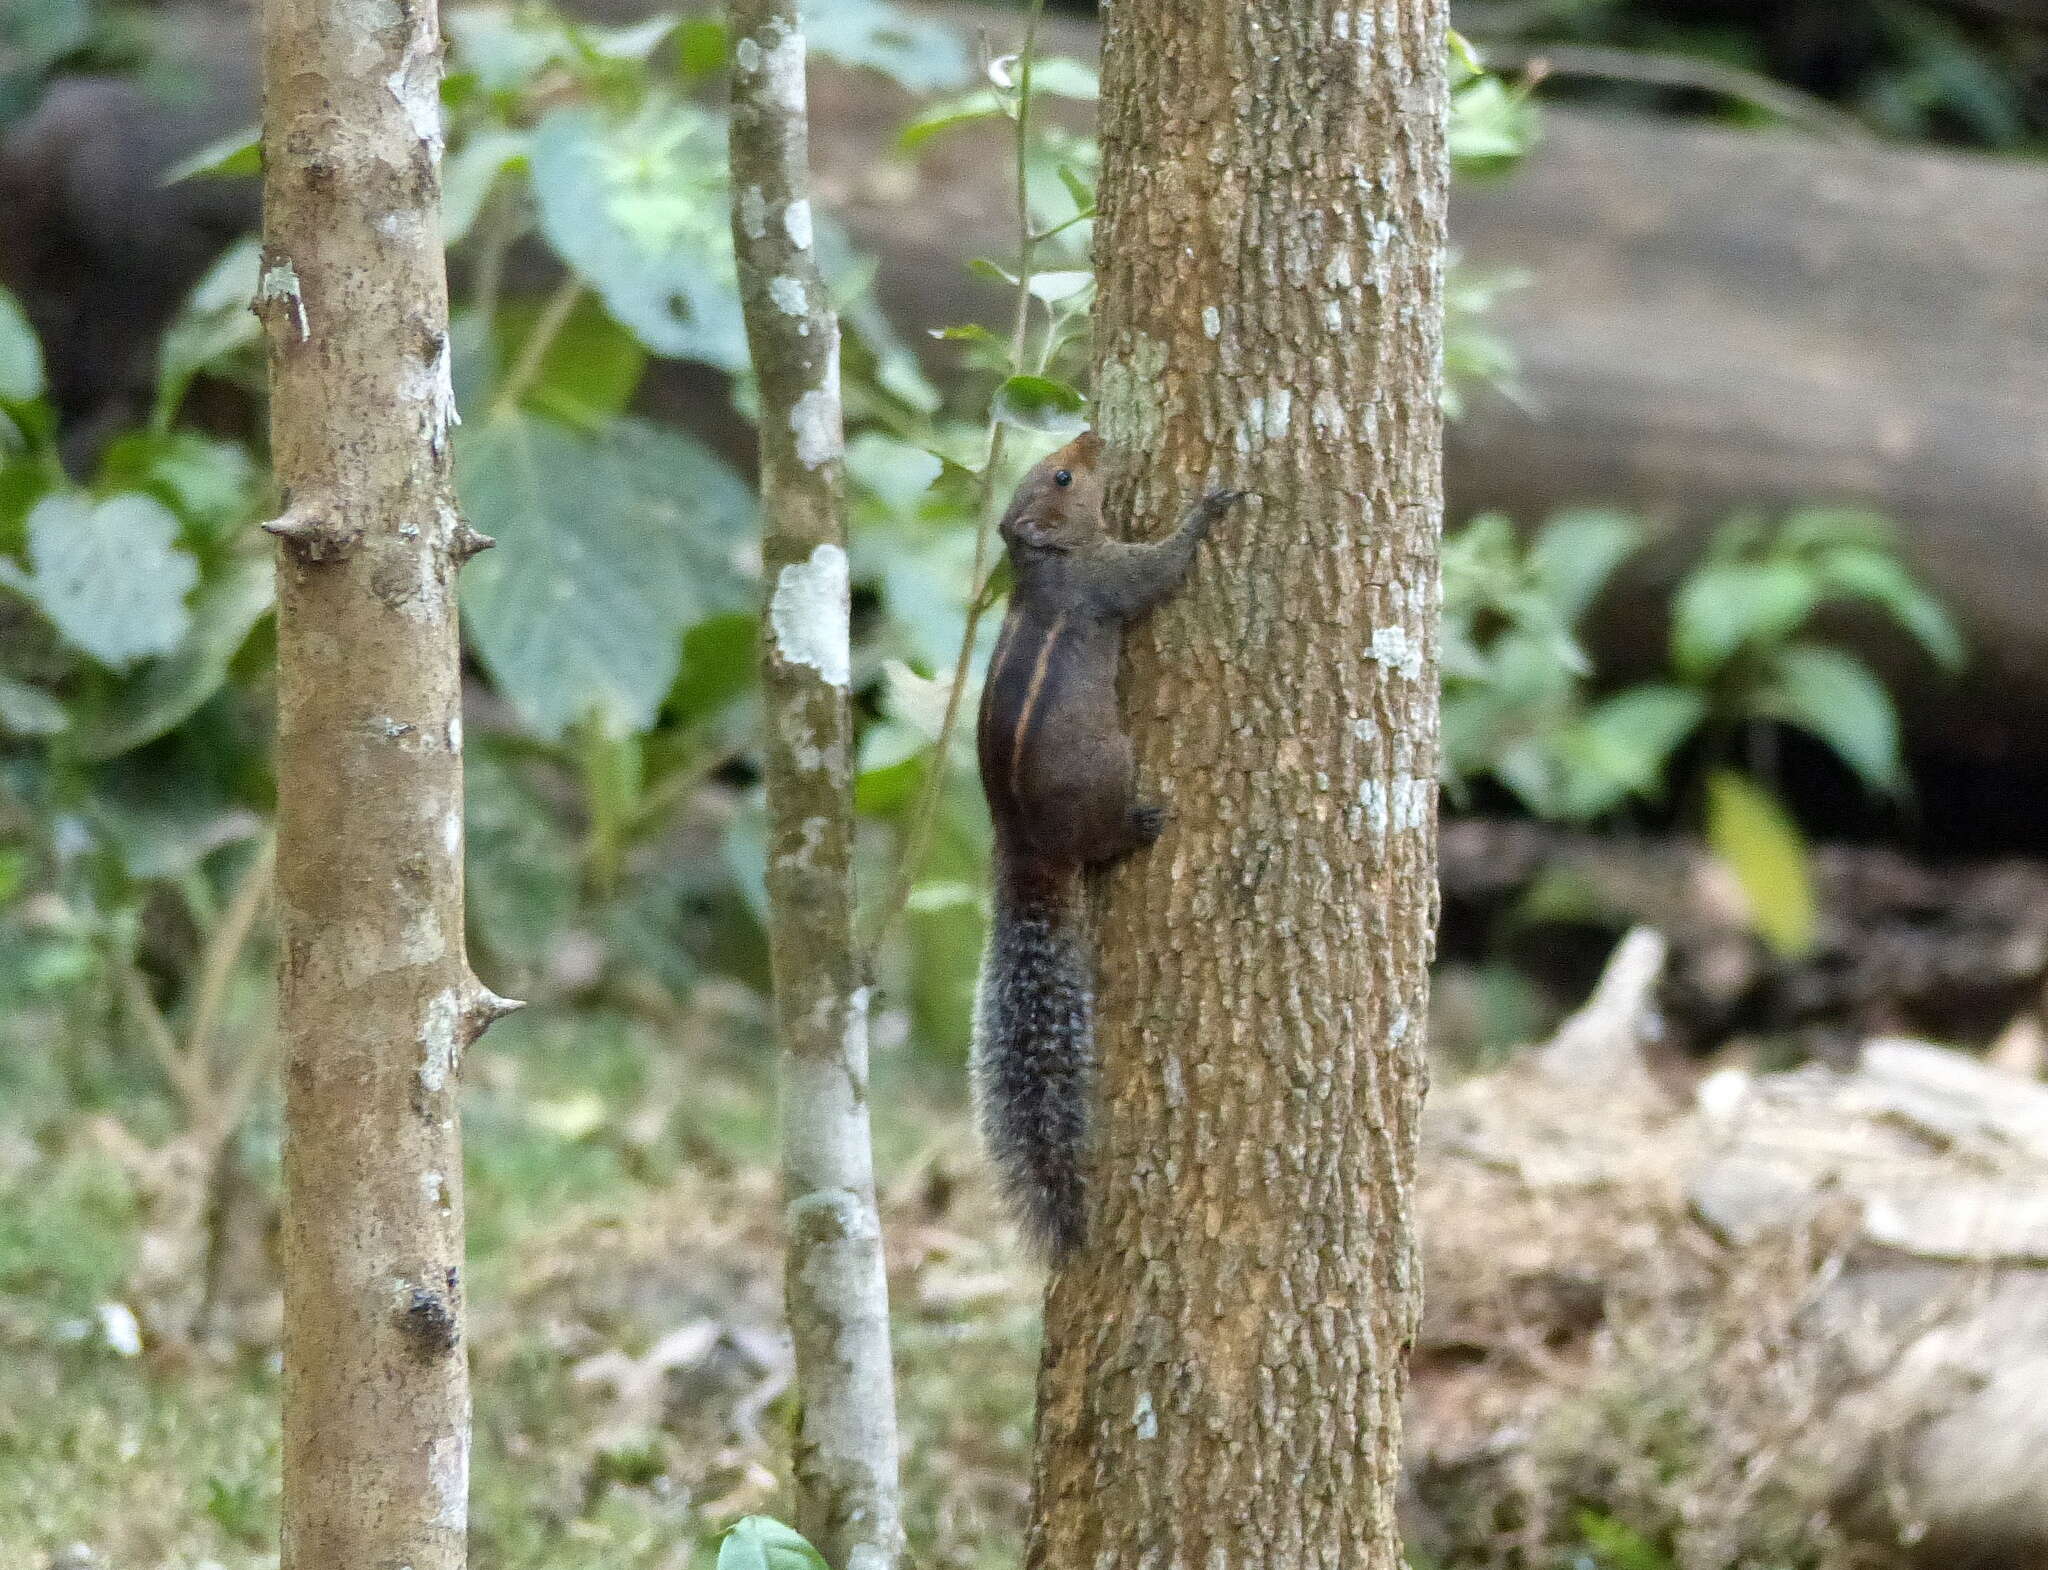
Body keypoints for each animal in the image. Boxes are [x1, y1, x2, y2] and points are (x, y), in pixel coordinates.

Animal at [970, 433, 1236, 1260]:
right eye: (1062, 476)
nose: (1093, 435)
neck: (1048, 563)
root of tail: (1023, 847)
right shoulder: (1112, 578)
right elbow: (1160, 569)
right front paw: (1208, 508)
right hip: (1112, 767)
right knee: (1106, 842)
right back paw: (1138, 829)